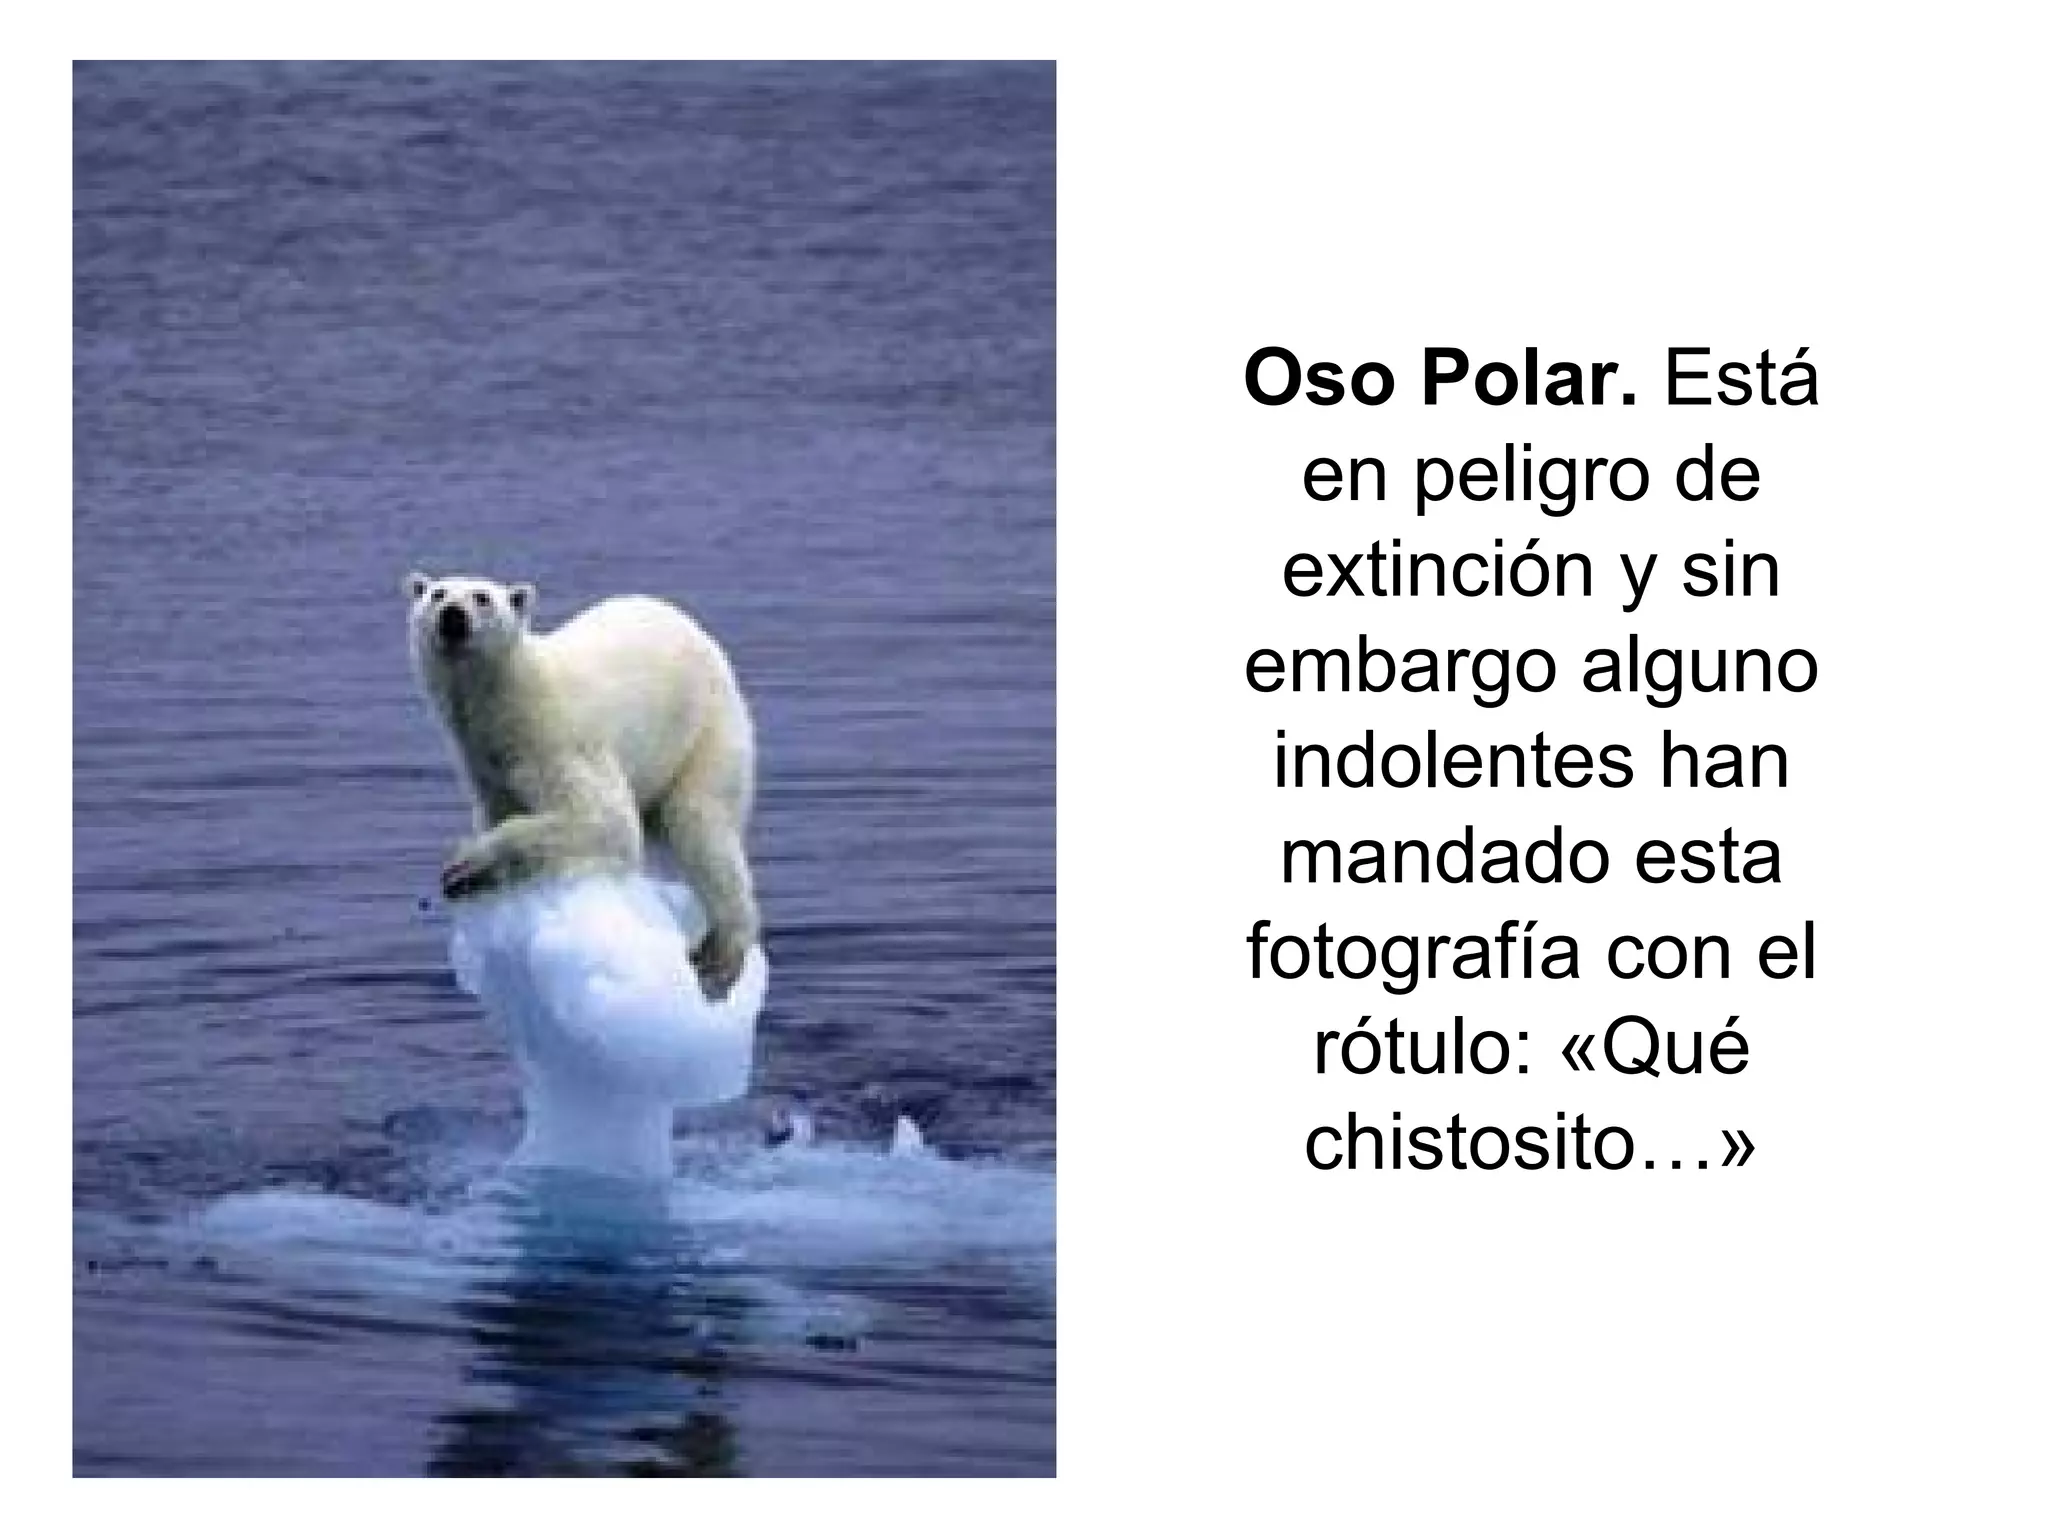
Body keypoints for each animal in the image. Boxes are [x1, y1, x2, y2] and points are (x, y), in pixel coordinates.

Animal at [405, 571, 759, 997]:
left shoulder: (558, 741)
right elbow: (501, 810)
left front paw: (465, 865)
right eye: (437, 593)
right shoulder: (486, 767)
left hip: (705, 733)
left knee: (701, 825)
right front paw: (476, 880)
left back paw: (721, 955)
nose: (453, 616)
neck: (509, 700)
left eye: (482, 597)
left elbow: (604, 820)